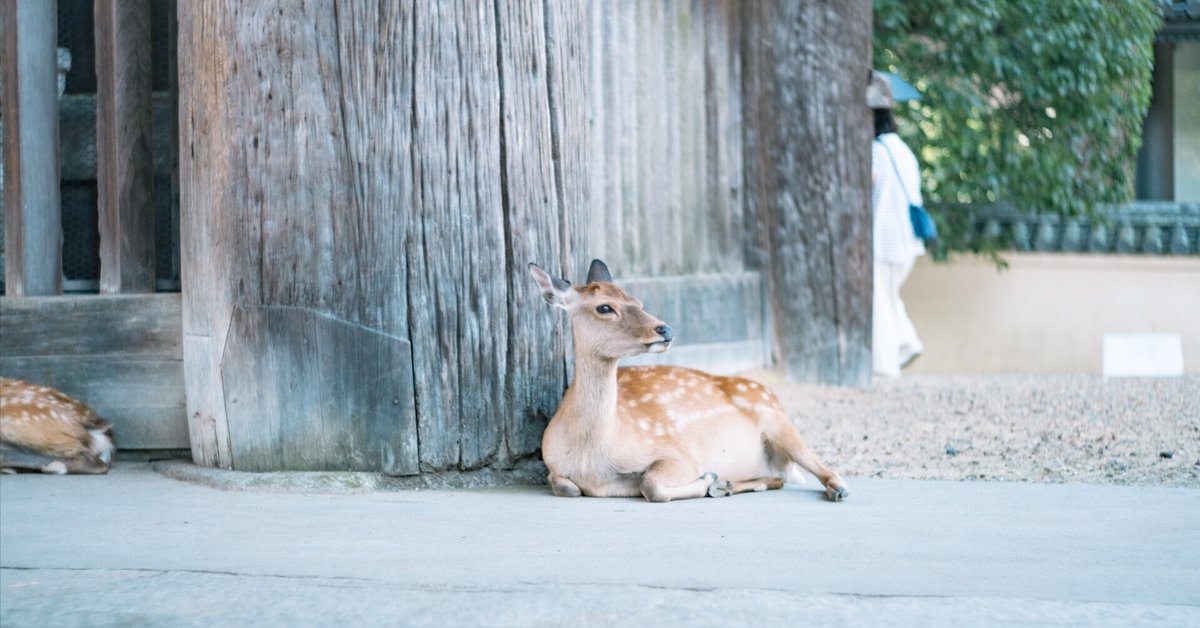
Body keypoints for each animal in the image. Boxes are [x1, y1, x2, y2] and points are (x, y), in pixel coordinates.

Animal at [530, 258, 849, 504]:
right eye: (604, 307)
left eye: (637, 301)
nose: (665, 329)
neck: (592, 458)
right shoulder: (553, 465)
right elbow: (566, 487)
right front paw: (713, 482)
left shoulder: (676, 452)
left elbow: (651, 485)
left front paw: (707, 477)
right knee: (777, 478)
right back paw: (726, 486)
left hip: (781, 424)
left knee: (823, 471)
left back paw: (837, 490)